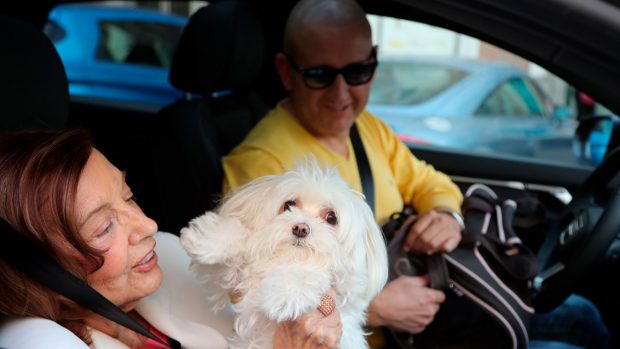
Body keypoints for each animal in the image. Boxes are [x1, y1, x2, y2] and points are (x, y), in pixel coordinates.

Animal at [179, 160, 388, 348]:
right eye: (289, 205)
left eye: (331, 217)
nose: (301, 228)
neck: (284, 261)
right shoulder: (227, 281)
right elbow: (224, 262)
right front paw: (209, 238)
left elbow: (305, 273)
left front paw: (287, 294)